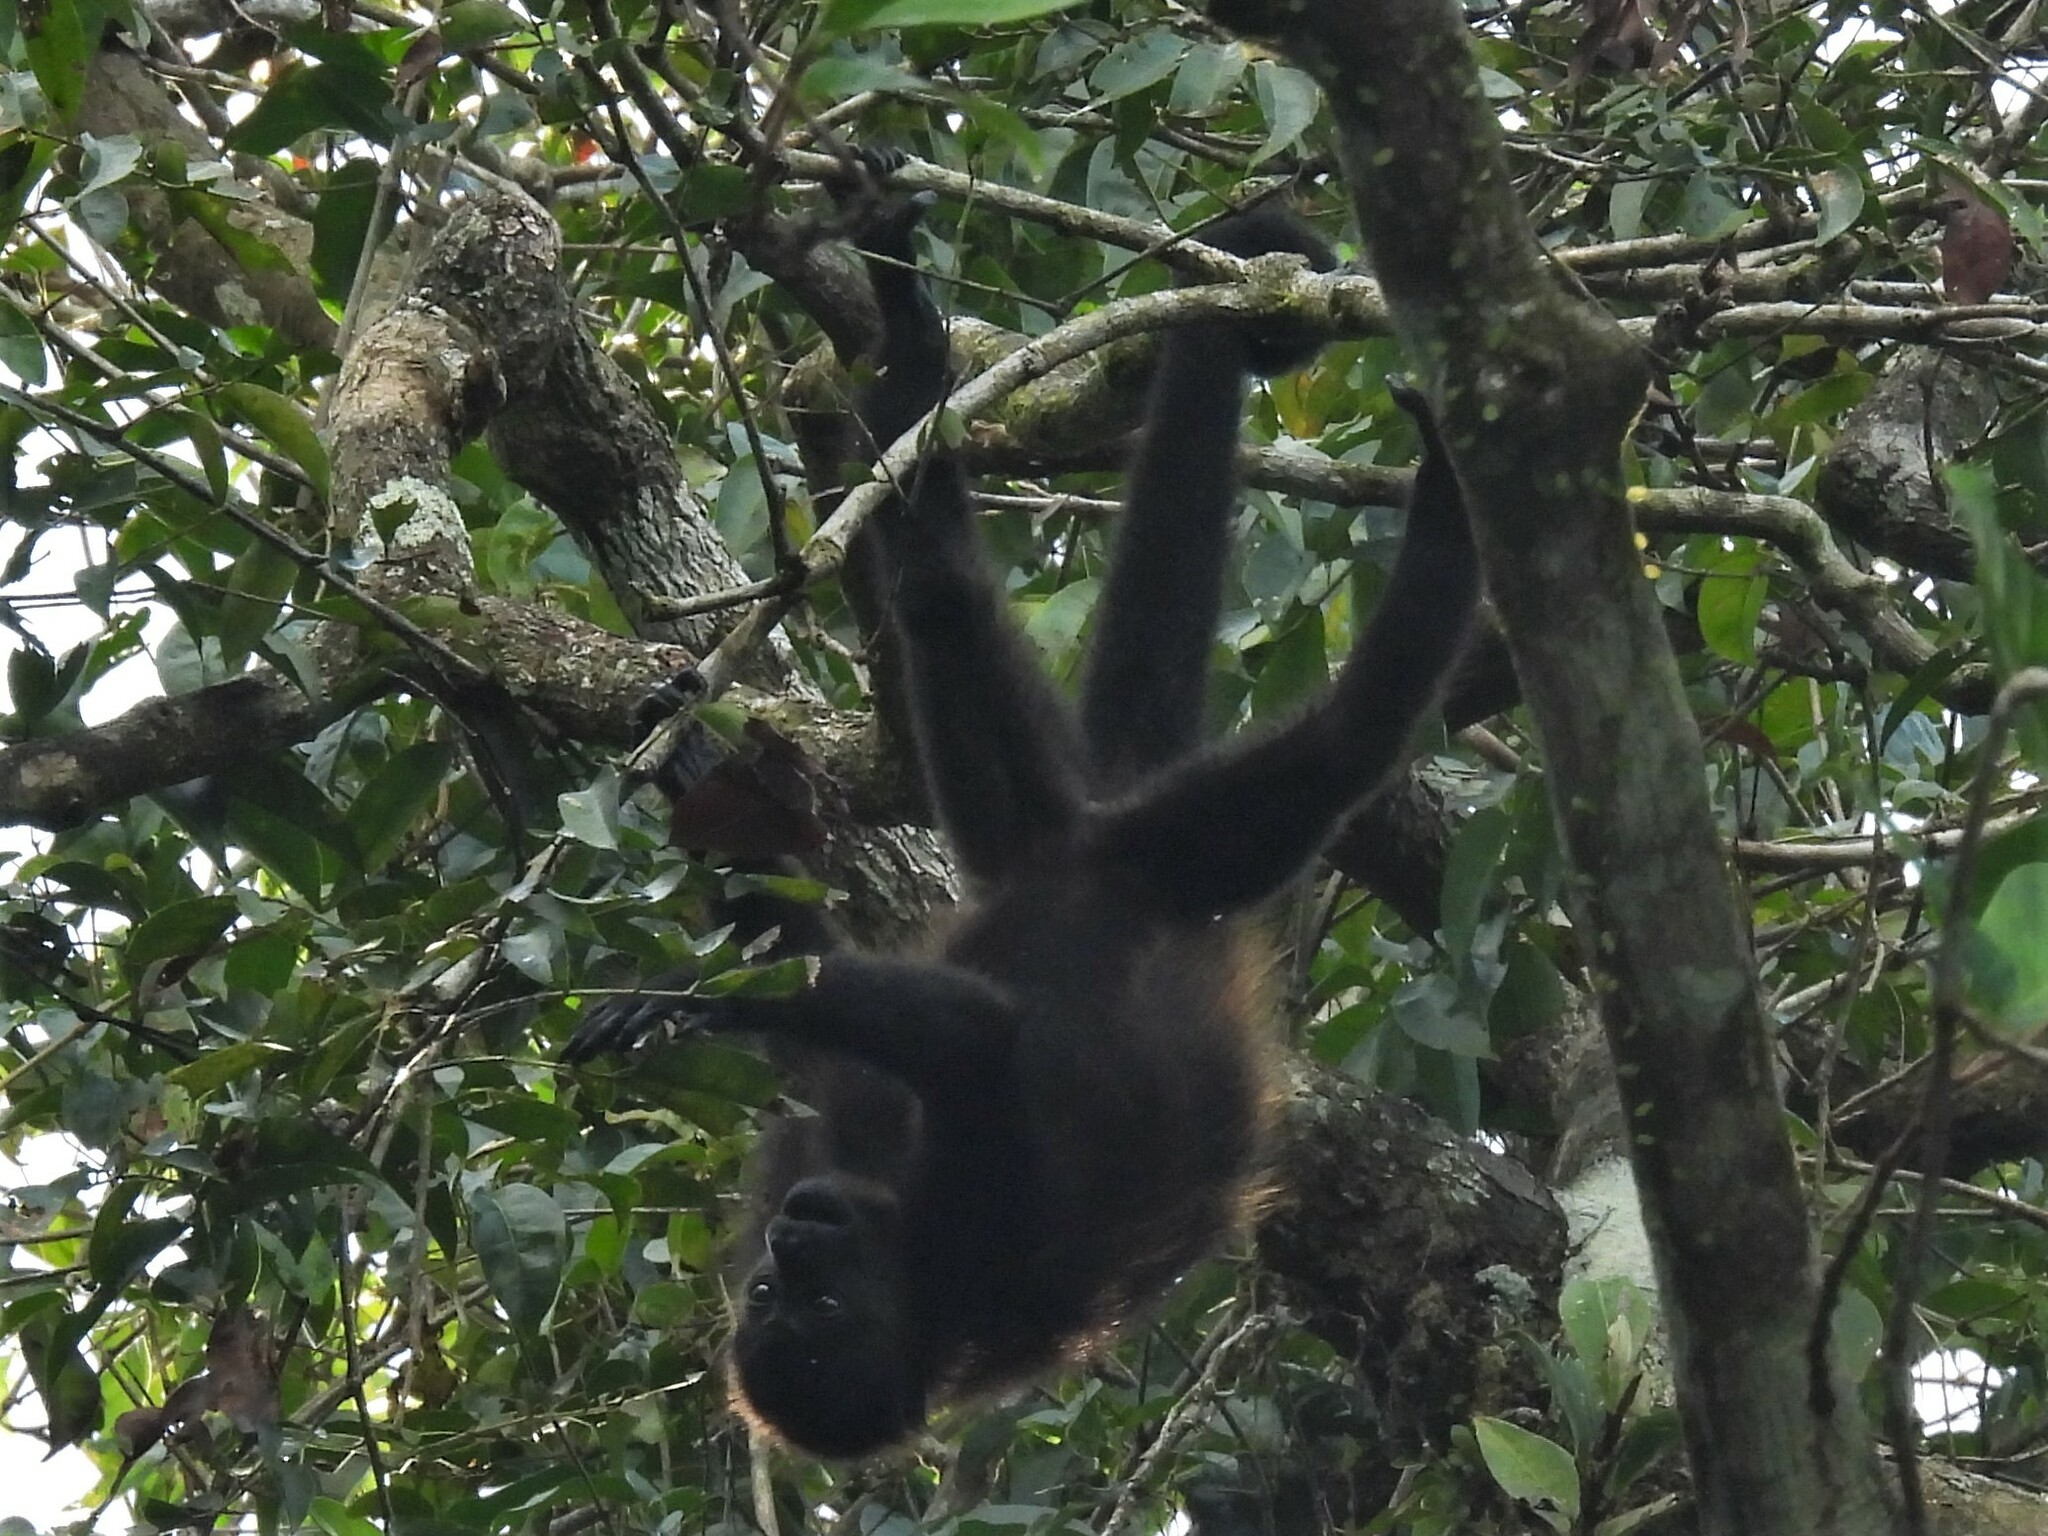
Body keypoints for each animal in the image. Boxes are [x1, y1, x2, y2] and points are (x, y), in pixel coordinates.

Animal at [569, 174, 1482, 1458]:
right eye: (763, 1292)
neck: (913, 1261)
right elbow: (816, 961)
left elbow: (980, 1039)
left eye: (817, 1303)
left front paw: (691, 996)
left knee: (1338, 742)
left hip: (1163, 854)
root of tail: (1088, 839)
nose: (793, 1239)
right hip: (1032, 826)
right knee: (944, 610)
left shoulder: (982, 1205)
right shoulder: (818, 1148)